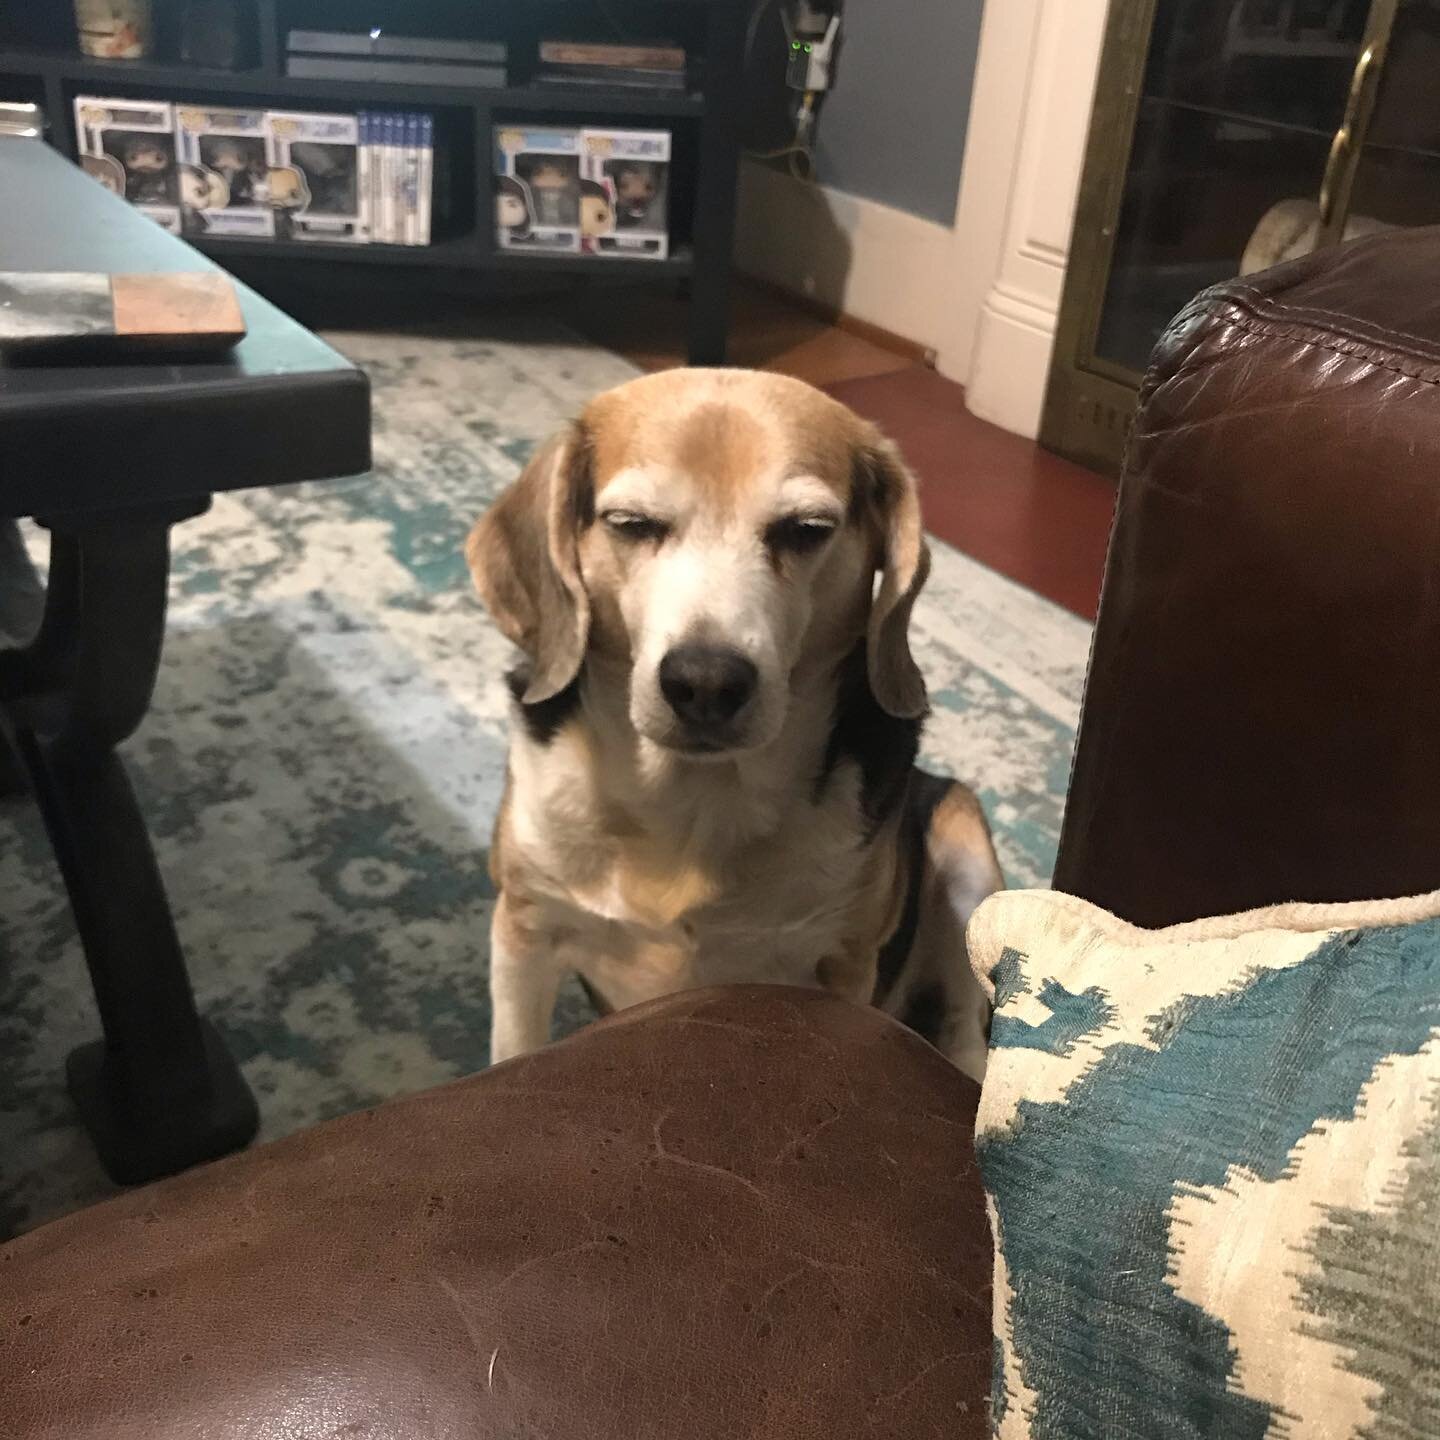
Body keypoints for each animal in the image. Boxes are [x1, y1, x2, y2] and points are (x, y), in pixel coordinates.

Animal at [469, 371, 1002, 1082]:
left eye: (806, 530)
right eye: (631, 524)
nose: (706, 682)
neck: (694, 798)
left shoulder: (843, 962)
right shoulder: (523, 930)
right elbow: (514, 1048)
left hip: (963, 840)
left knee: (966, 1022)